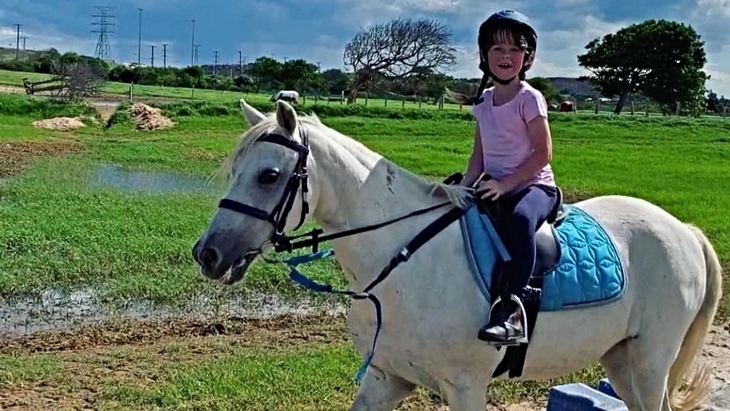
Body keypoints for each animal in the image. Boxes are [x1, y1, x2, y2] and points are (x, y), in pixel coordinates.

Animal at [191, 99, 720, 411]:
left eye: (269, 175)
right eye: (236, 170)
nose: (208, 254)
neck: (405, 265)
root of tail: (685, 232)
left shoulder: (465, 388)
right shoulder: (386, 377)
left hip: (649, 362)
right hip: (621, 360)